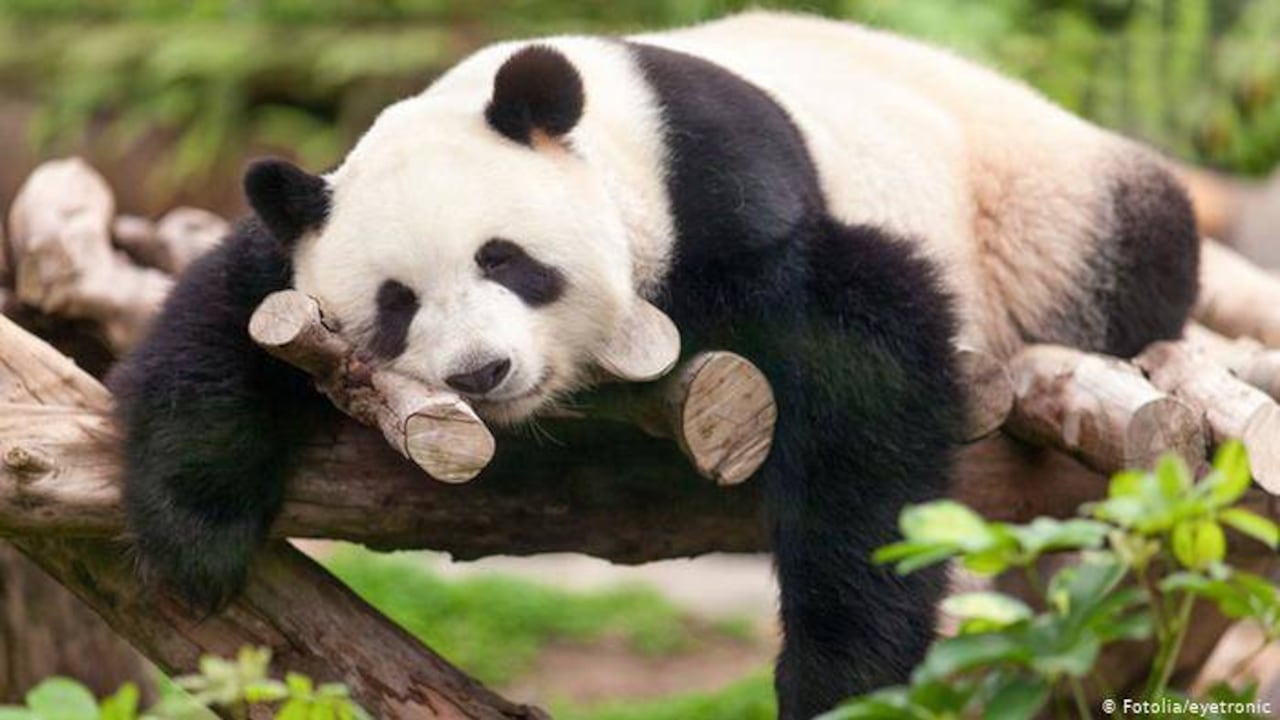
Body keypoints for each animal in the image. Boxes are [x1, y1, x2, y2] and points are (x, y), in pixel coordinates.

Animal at [112, 11, 1199, 719]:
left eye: (505, 259)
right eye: (393, 305)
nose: (481, 373)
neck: (616, 139)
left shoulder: (727, 198)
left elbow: (864, 372)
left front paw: (836, 678)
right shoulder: (305, 226)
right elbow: (227, 307)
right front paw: (197, 532)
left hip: (1044, 206)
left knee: (1137, 251)